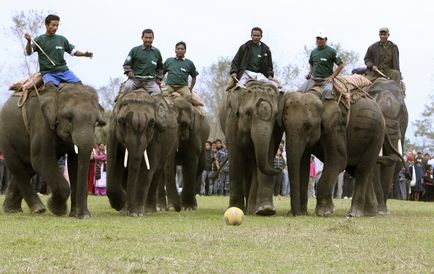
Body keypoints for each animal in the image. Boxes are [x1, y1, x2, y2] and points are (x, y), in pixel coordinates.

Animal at [0, 83, 106, 218]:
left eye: (95, 122)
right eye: (69, 118)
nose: (84, 216)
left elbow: (76, 162)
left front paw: (75, 214)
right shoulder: (41, 122)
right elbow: (41, 159)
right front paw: (57, 209)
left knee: (28, 167)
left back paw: (12, 209)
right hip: (5, 137)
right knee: (18, 167)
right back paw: (38, 209)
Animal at [219, 80, 284, 215]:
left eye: (275, 116)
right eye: (248, 114)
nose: (280, 167)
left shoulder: (274, 130)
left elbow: (267, 154)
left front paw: (266, 210)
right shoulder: (231, 121)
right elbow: (236, 157)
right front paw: (235, 208)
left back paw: (253, 209)